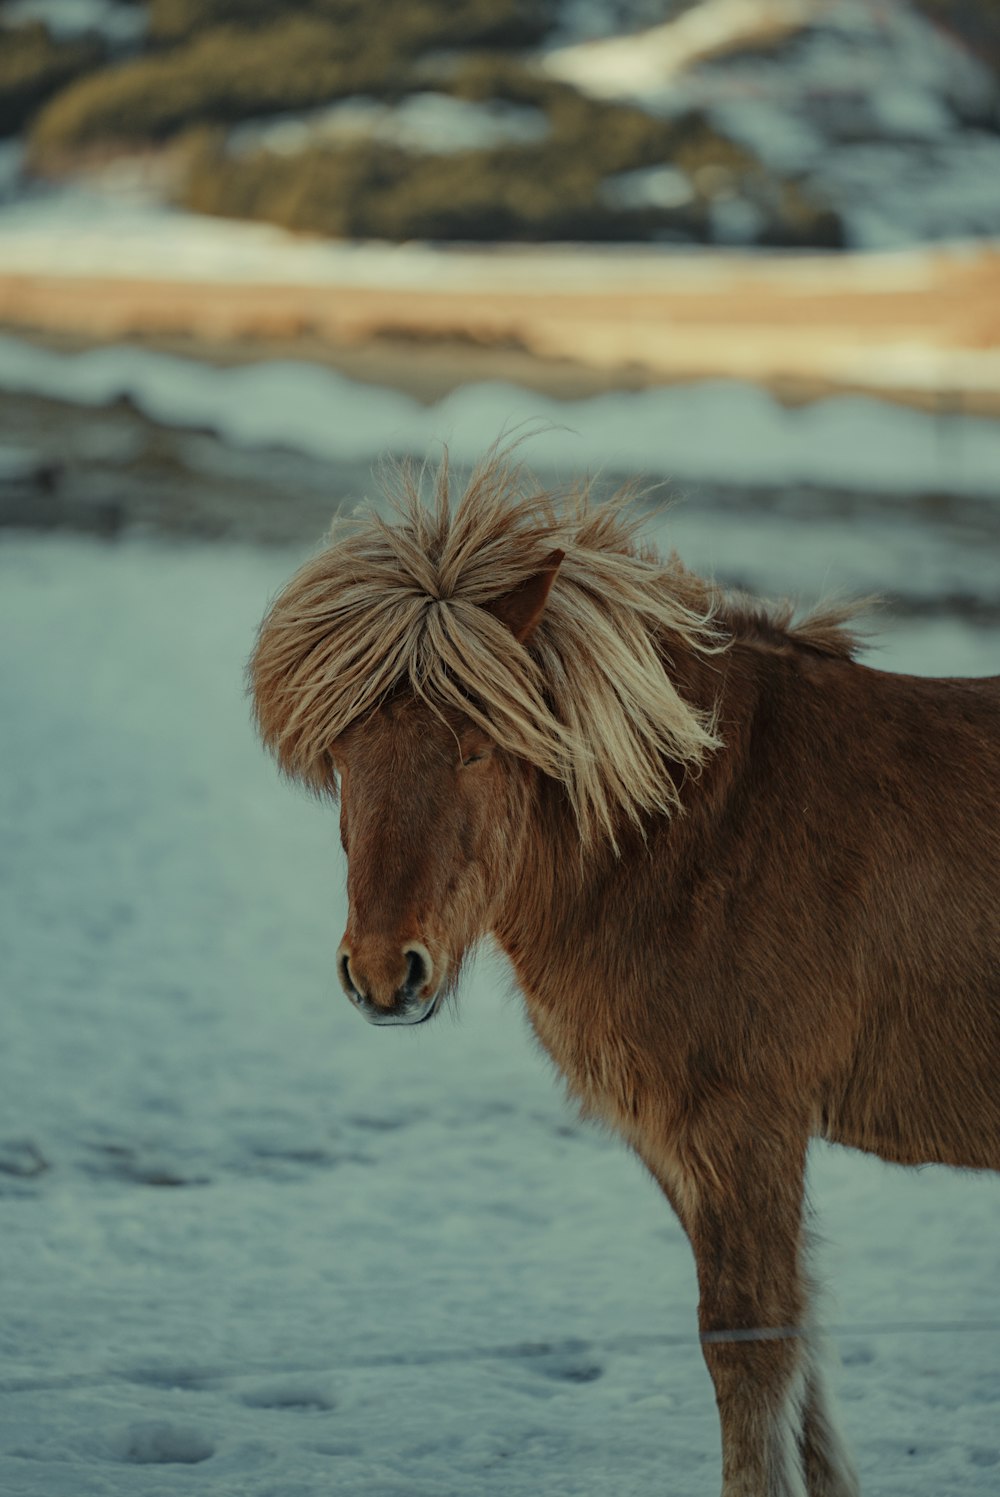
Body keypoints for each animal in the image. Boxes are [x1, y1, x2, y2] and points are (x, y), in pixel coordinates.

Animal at [249, 452, 999, 1497]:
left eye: (476, 746)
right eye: (347, 750)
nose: (384, 972)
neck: (697, 829)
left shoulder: (746, 1124)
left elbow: (750, 1347)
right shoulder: (681, 1138)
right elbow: (800, 1350)